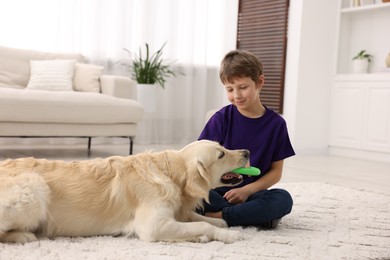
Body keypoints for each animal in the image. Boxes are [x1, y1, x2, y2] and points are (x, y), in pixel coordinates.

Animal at [0, 140, 248, 244]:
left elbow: (198, 218)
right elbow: (201, 225)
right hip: (35, 186)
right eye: (221, 155)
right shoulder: (153, 226)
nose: (246, 152)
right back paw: (24, 236)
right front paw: (230, 234)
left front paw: (219, 224)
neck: (169, 172)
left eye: (223, 147)